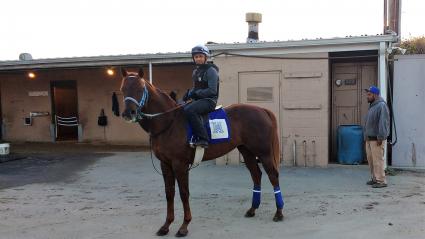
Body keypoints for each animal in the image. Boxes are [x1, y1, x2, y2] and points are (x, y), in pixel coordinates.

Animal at [121, 68, 284, 236]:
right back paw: (252, 209)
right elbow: (169, 193)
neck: (169, 122)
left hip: (264, 153)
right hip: (247, 152)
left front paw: (184, 226)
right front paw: (166, 225)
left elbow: (183, 193)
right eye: (123, 89)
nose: (129, 113)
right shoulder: (165, 164)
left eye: (140, 89)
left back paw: (278, 212)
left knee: (273, 176)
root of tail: (262, 110)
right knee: (256, 175)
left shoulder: (180, 165)